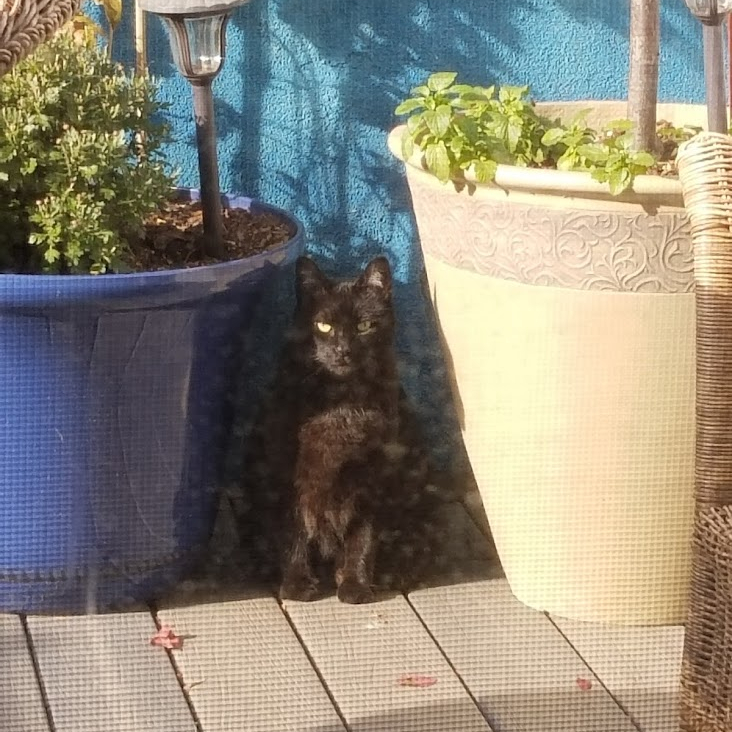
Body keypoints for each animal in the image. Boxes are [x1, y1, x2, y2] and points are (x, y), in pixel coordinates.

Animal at [237, 255, 446, 603]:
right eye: (324, 326)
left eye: (364, 326)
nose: (343, 351)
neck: (340, 402)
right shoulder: (286, 477)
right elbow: (293, 534)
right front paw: (297, 584)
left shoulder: (373, 478)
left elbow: (363, 537)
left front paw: (355, 584)